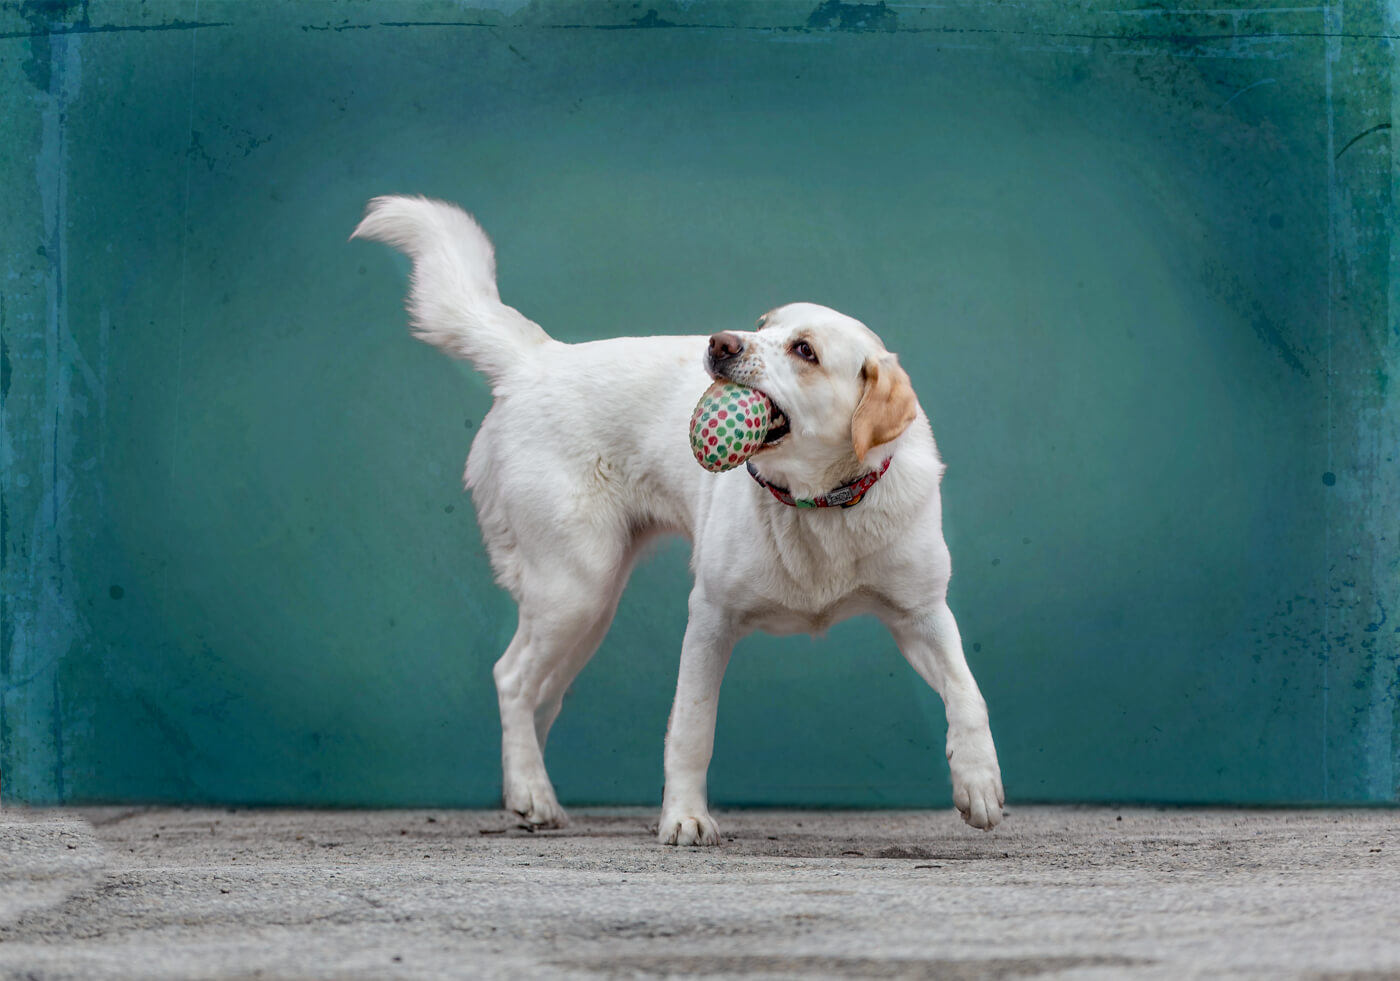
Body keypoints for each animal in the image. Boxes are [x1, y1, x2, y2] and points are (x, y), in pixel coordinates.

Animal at [355, 197, 1002, 839]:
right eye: (762, 322)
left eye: (805, 351)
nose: (720, 342)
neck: (816, 505)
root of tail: (539, 357)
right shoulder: (711, 617)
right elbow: (692, 729)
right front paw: (686, 817)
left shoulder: (923, 614)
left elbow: (969, 694)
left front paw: (978, 782)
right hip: (574, 589)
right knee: (511, 678)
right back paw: (531, 793)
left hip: (587, 610)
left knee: (539, 691)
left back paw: (528, 792)